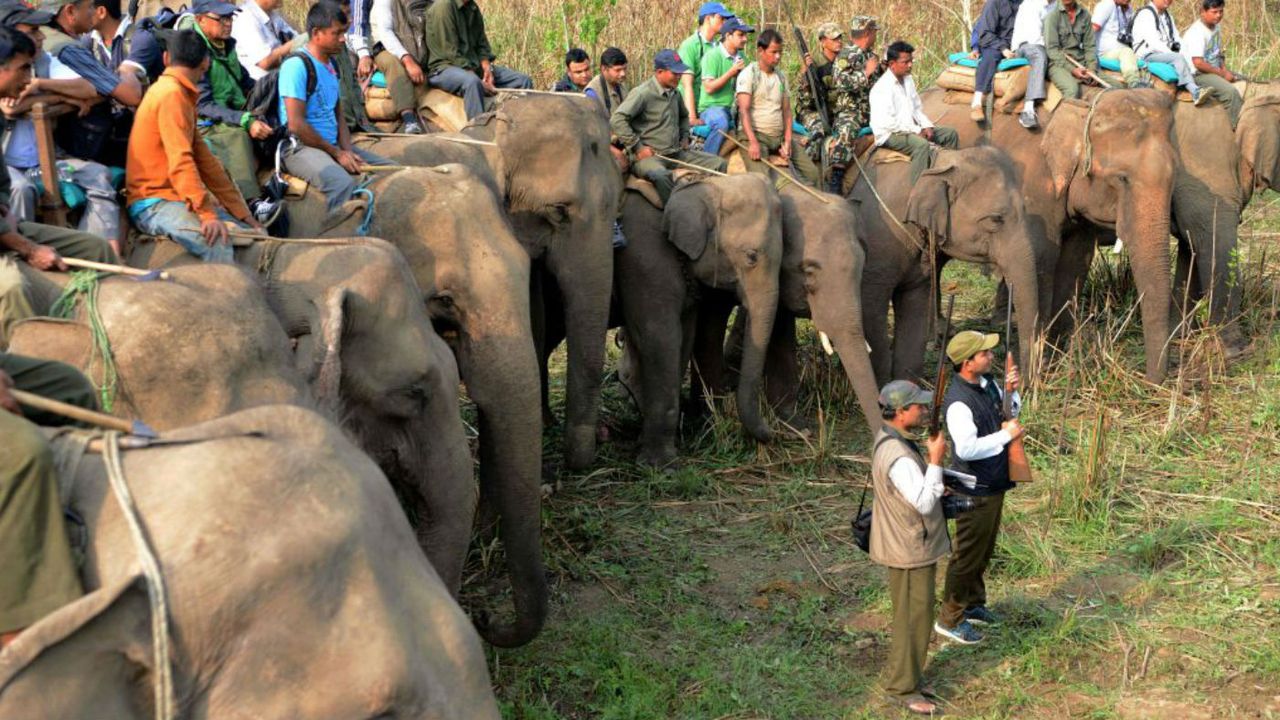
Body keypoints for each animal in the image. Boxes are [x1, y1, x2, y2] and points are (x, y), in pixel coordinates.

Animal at [614, 172, 783, 466]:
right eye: (751, 257)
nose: (773, 435)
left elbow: (686, 334)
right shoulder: (645, 260)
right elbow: (662, 336)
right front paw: (660, 465)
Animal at [849, 142, 1039, 384]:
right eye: (996, 219)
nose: (1020, 381)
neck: (938, 163)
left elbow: (915, 310)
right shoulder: (878, 242)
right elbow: (871, 312)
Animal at [921, 85, 1177, 381]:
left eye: (1173, 178)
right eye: (1122, 178)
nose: (1150, 382)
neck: (1082, 105)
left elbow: (1076, 260)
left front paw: (1059, 357)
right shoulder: (1032, 188)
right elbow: (1042, 256)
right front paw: (1041, 363)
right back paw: (936, 336)